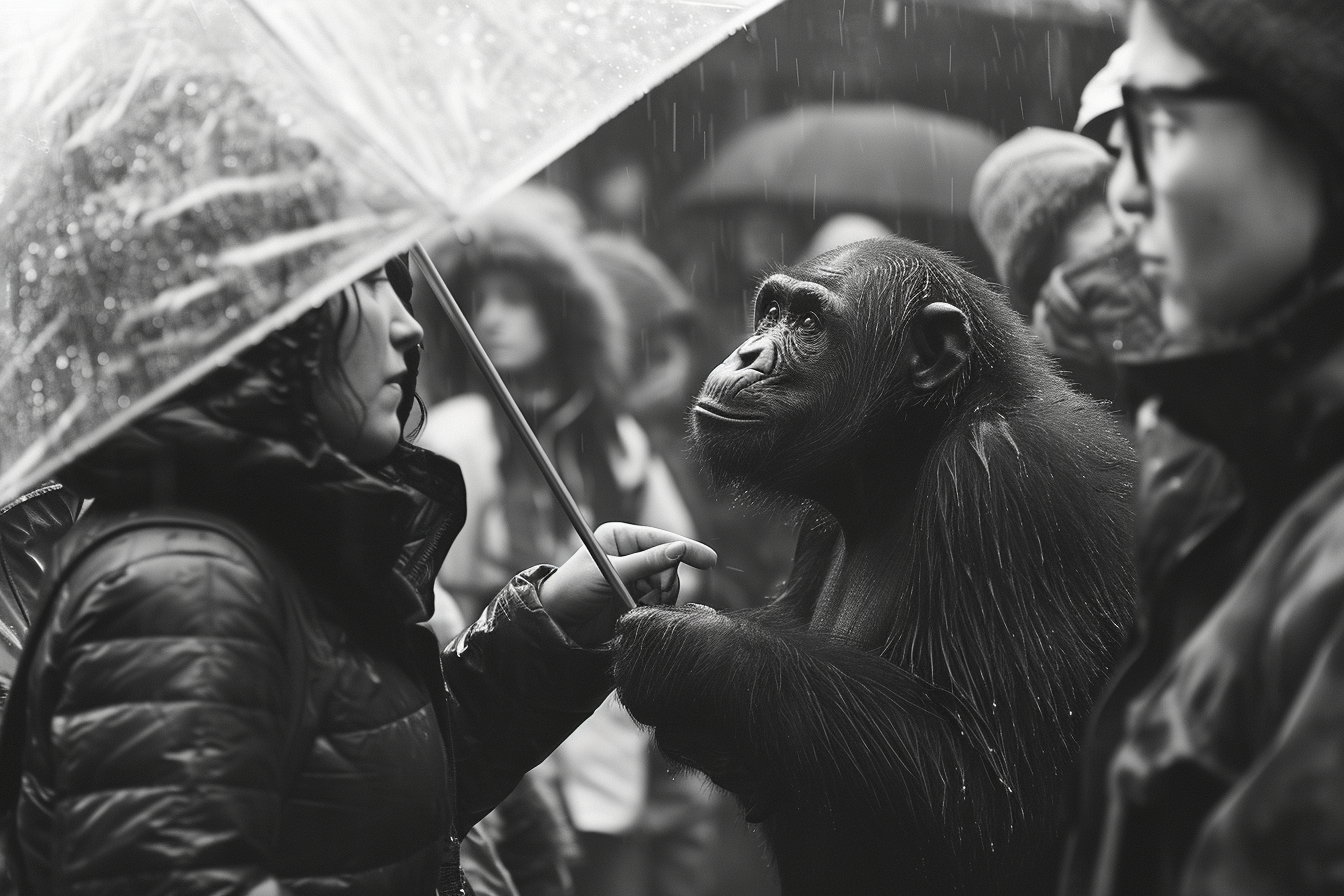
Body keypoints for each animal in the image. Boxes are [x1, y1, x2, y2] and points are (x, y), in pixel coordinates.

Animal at [610, 235, 1134, 891]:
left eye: (809, 323)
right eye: (772, 311)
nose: (749, 353)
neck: (912, 445)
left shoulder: (1010, 487)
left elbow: (988, 798)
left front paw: (689, 651)